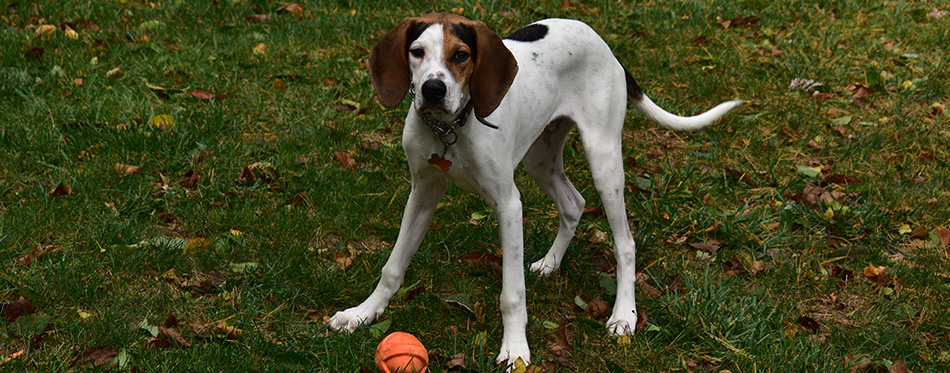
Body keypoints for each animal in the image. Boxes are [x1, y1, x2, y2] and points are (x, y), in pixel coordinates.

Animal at [330, 12, 748, 366]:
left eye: (461, 55)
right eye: (416, 52)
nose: (433, 89)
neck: (452, 129)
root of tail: (605, 45)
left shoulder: (508, 205)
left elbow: (511, 294)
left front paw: (515, 348)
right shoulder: (422, 192)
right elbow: (392, 266)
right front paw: (362, 313)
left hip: (604, 160)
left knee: (625, 241)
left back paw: (623, 314)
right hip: (540, 157)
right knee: (574, 203)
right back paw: (550, 262)